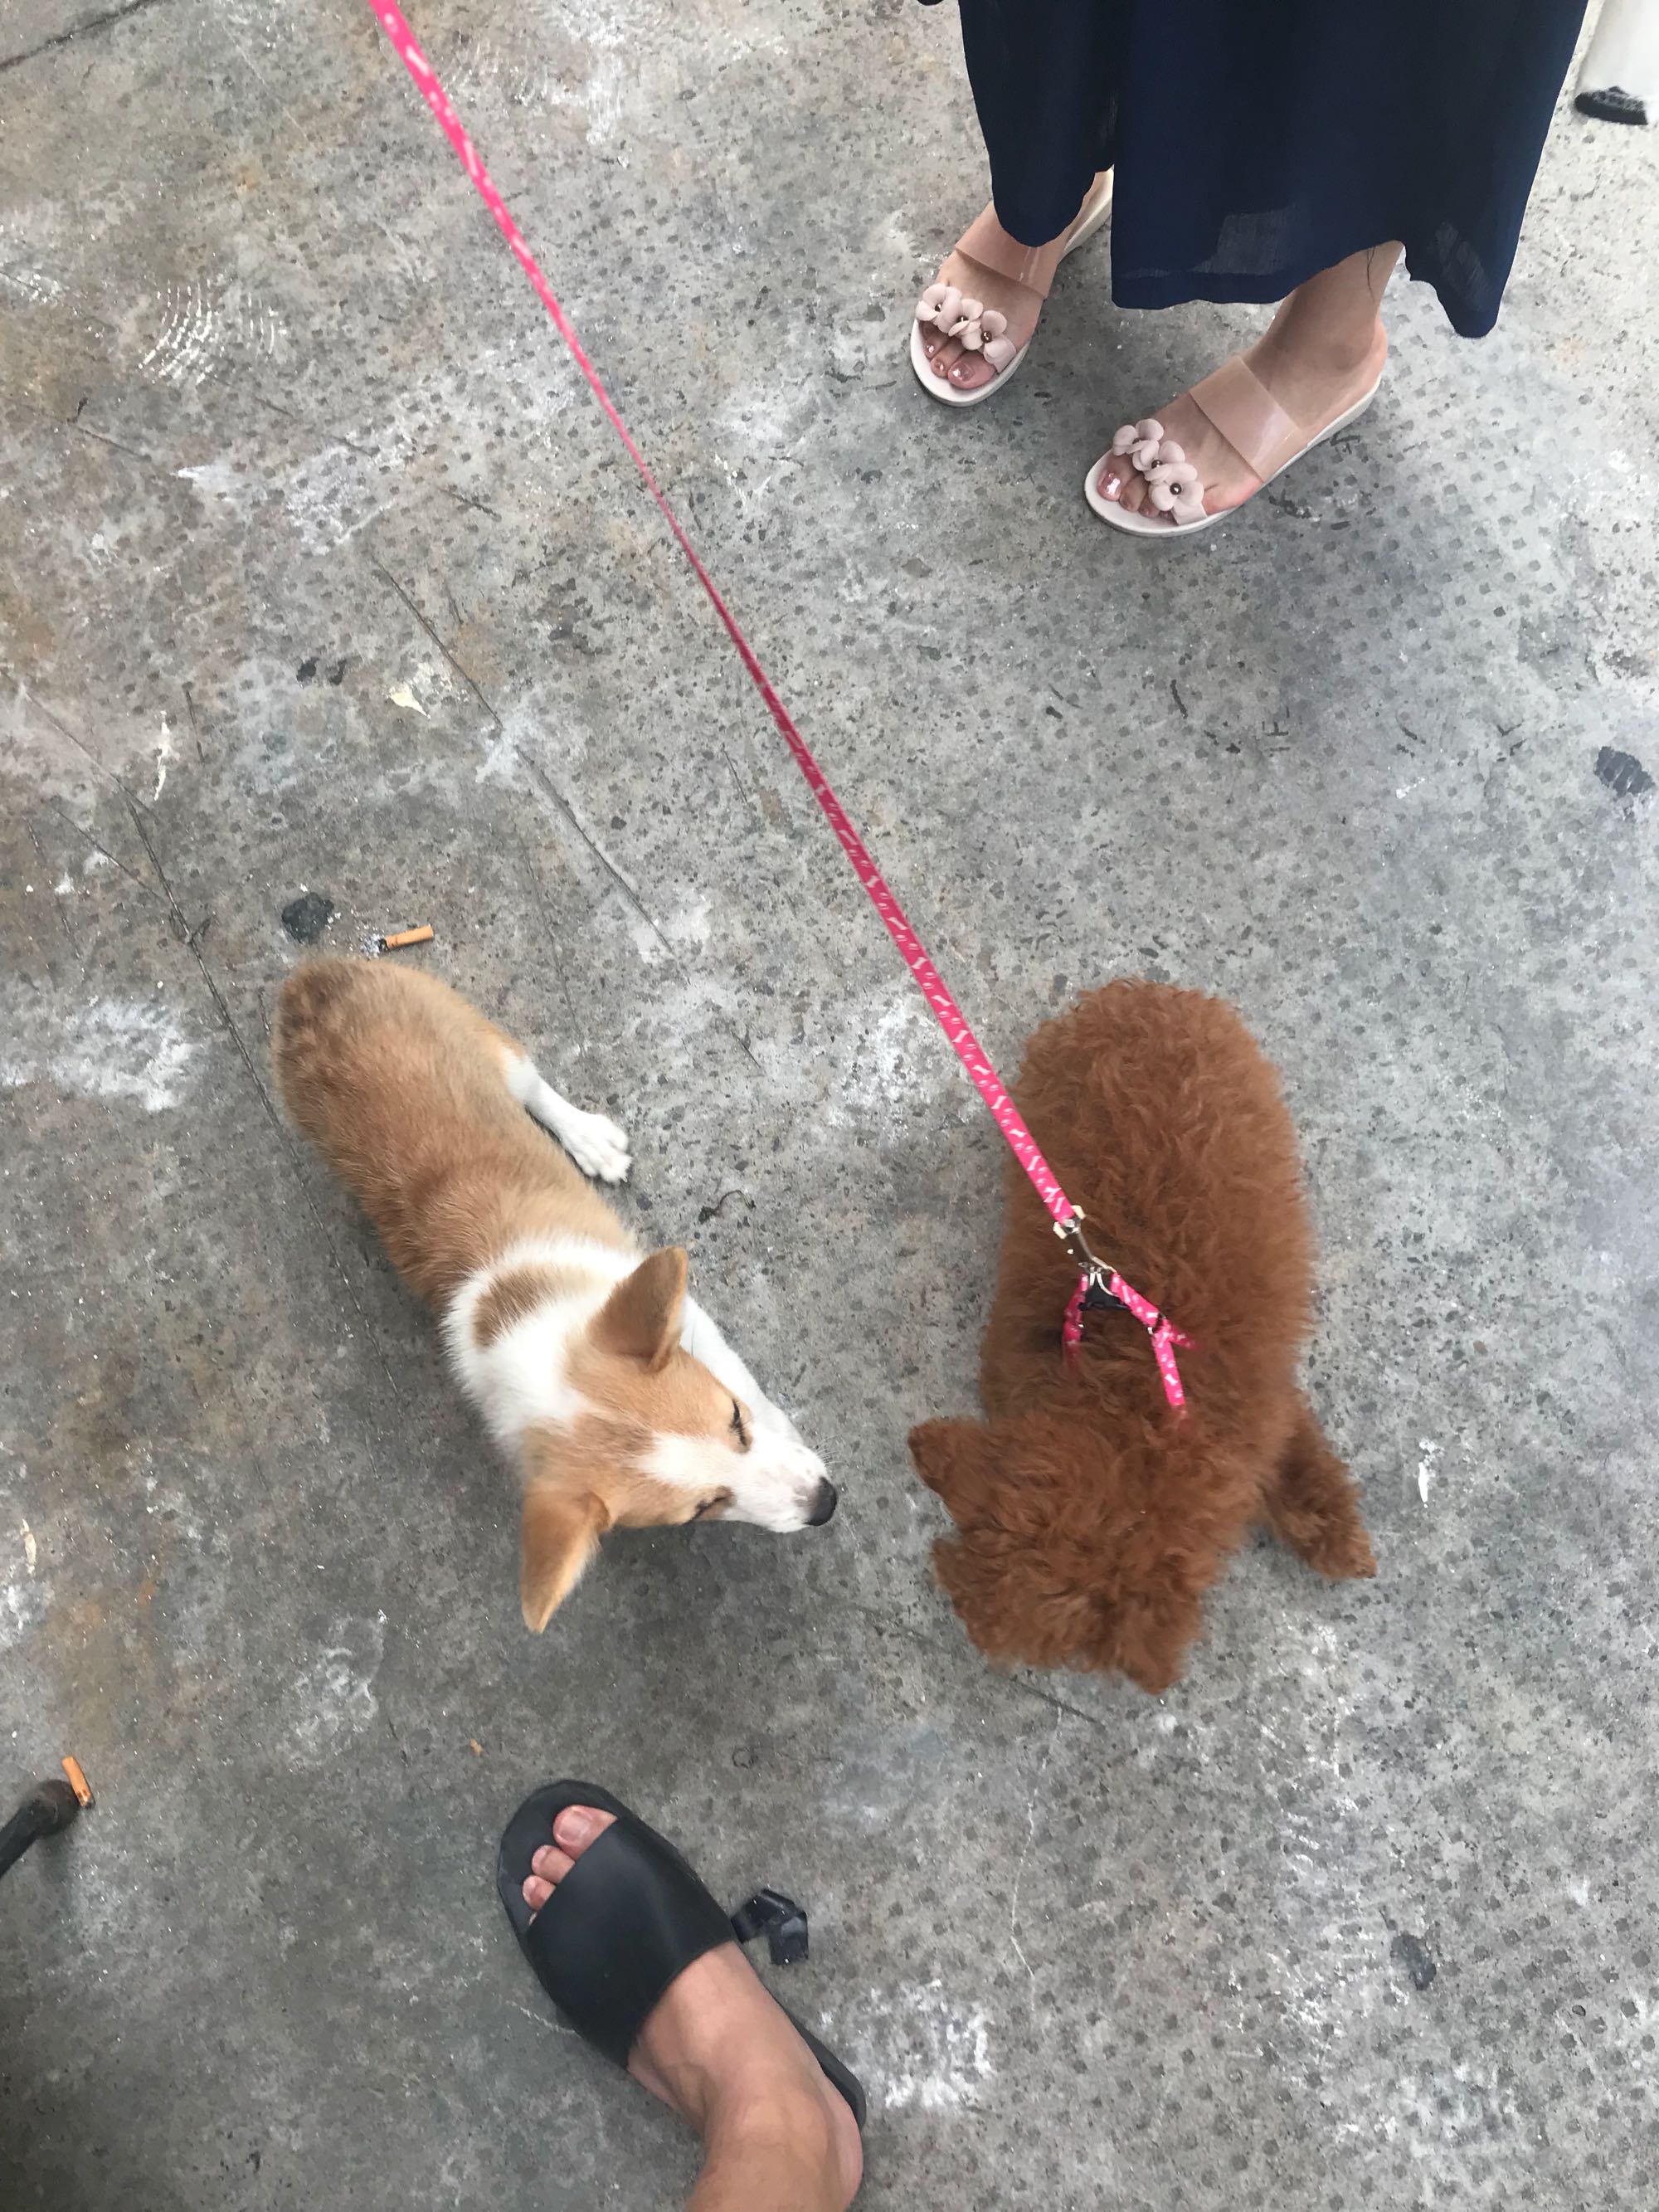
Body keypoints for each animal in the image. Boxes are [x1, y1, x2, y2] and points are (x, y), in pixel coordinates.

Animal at [273, 959, 836, 1629]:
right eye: (704, 1508)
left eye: (734, 1421)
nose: (827, 1504)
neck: (538, 1350)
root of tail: (307, 985)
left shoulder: (688, 1320)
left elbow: (744, 1378)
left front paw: (784, 1425)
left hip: (482, 1040)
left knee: (534, 1086)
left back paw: (588, 1138)